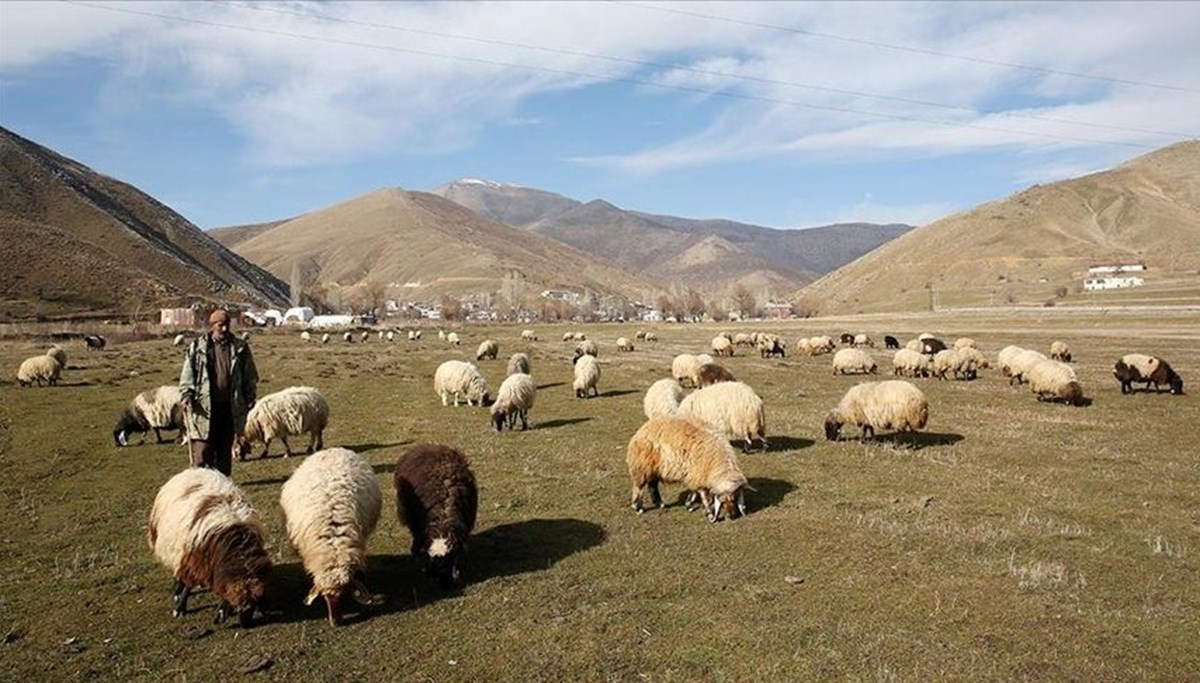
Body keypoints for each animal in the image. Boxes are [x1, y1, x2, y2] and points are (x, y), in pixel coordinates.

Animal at [148, 465, 272, 624]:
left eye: (254, 601)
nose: (246, 624)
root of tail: (196, 469)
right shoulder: (194, 556)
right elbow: (188, 585)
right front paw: (180, 607)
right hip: (175, 548)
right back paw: (177, 589)